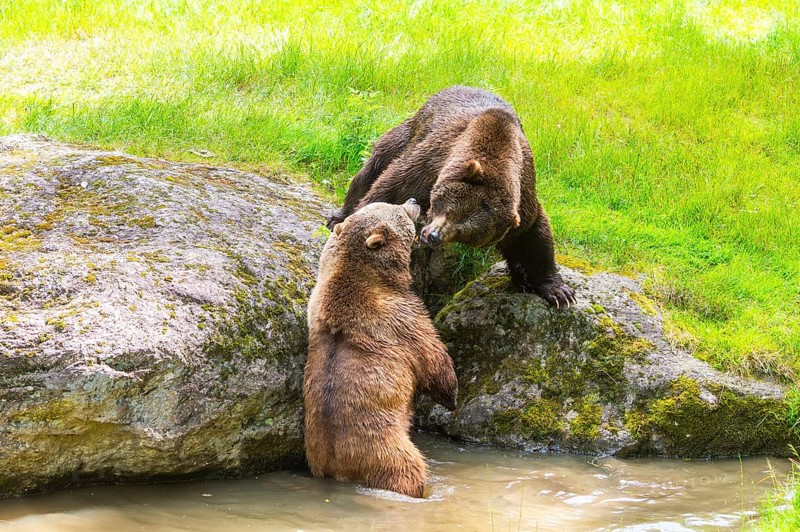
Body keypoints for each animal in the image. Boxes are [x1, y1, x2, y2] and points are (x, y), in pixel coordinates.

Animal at [303, 199, 458, 498]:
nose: (413, 201)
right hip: (387, 449)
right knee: (407, 471)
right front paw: (452, 396)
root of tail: (339, 466)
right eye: (396, 208)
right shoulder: (400, 319)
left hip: (315, 453)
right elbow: (433, 358)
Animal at [327, 85, 576, 307]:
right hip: (407, 133)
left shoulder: (523, 194)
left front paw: (558, 291)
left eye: (464, 232)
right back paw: (339, 215)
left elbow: (532, 237)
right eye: (449, 210)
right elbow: (390, 189)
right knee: (372, 168)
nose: (433, 235)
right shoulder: (432, 161)